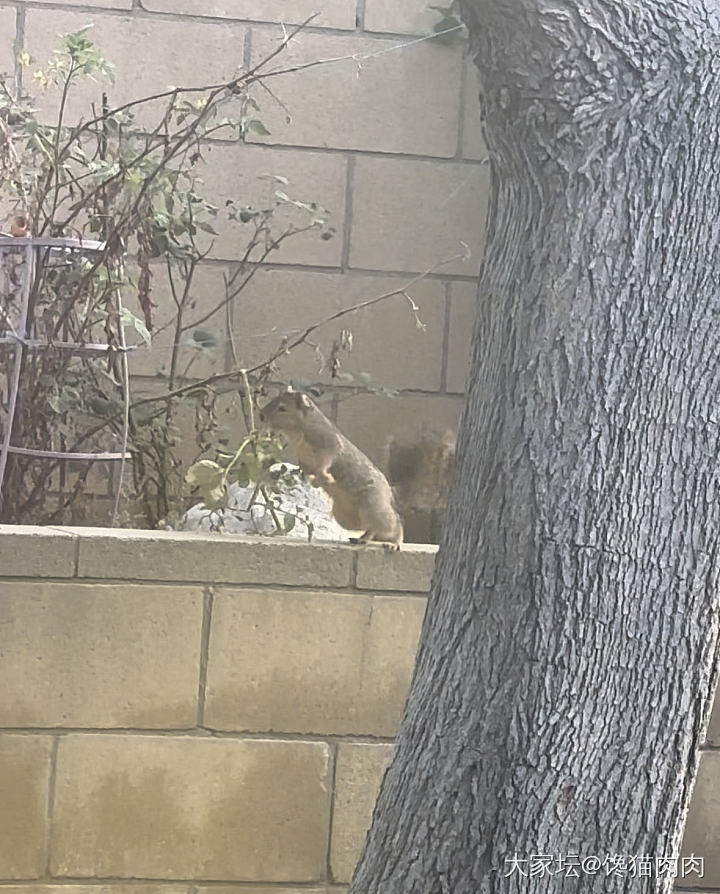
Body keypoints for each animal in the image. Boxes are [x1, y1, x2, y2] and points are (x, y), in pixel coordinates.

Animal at [260, 394, 404, 552]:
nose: (261, 415)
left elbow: (324, 464)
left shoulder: (330, 444)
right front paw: (314, 480)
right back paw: (362, 539)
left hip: (373, 506)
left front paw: (326, 478)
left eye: (282, 408)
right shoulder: (304, 460)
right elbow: (307, 468)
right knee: (371, 527)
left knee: (392, 524)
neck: (299, 430)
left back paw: (394, 543)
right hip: (346, 517)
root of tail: (388, 493)